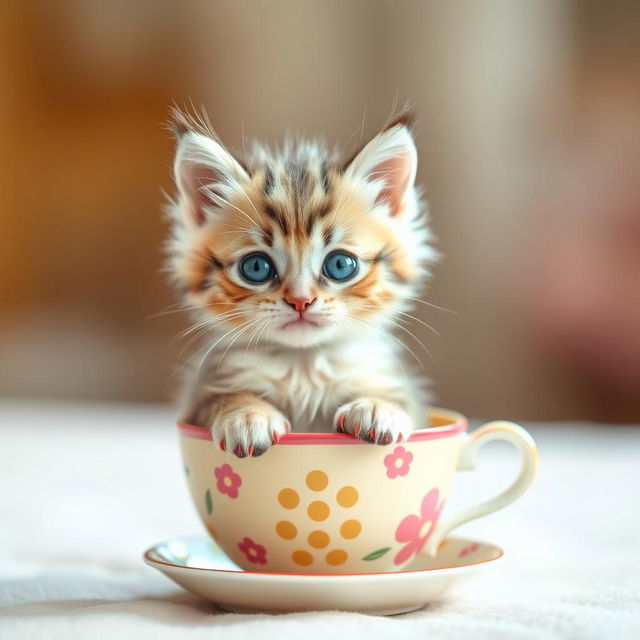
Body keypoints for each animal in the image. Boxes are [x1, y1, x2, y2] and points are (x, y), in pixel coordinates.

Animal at [162, 109, 438, 456]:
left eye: (340, 265)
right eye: (256, 267)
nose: (300, 300)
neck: (302, 366)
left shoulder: (402, 392)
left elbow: (399, 400)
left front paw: (378, 407)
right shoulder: (198, 395)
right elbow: (223, 397)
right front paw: (248, 416)